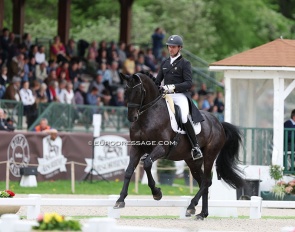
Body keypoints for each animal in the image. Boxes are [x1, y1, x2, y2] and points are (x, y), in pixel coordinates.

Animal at [114, 71, 245, 220]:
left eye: (138, 91)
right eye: (125, 91)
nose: (132, 117)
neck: (148, 115)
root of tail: (219, 123)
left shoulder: (161, 148)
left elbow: (147, 164)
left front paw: (157, 193)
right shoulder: (136, 148)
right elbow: (129, 171)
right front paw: (120, 200)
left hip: (209, 155)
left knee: (206, 181)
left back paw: (191, 206)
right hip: (192, 161)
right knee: (203, 181)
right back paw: (201, 213)